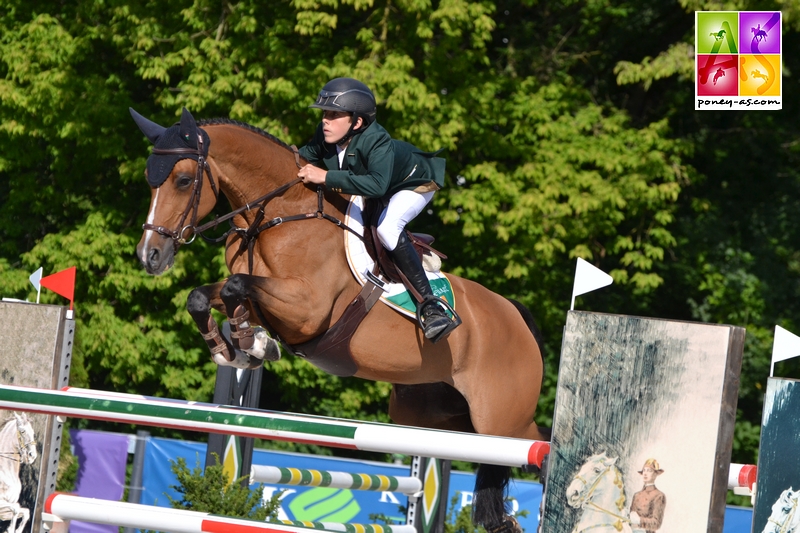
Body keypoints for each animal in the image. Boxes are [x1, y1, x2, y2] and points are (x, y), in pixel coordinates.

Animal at [131, 108, 552, 532]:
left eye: (184, 180)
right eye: (150, 180)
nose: (150, 256)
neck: (277, 215)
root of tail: (514, 314)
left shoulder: (307, 309)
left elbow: (237, 287)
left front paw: (251, 343)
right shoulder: (264, 296)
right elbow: (206, 295)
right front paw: (235, 349)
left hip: (502, 422)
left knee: (541, 448)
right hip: (434, 415)